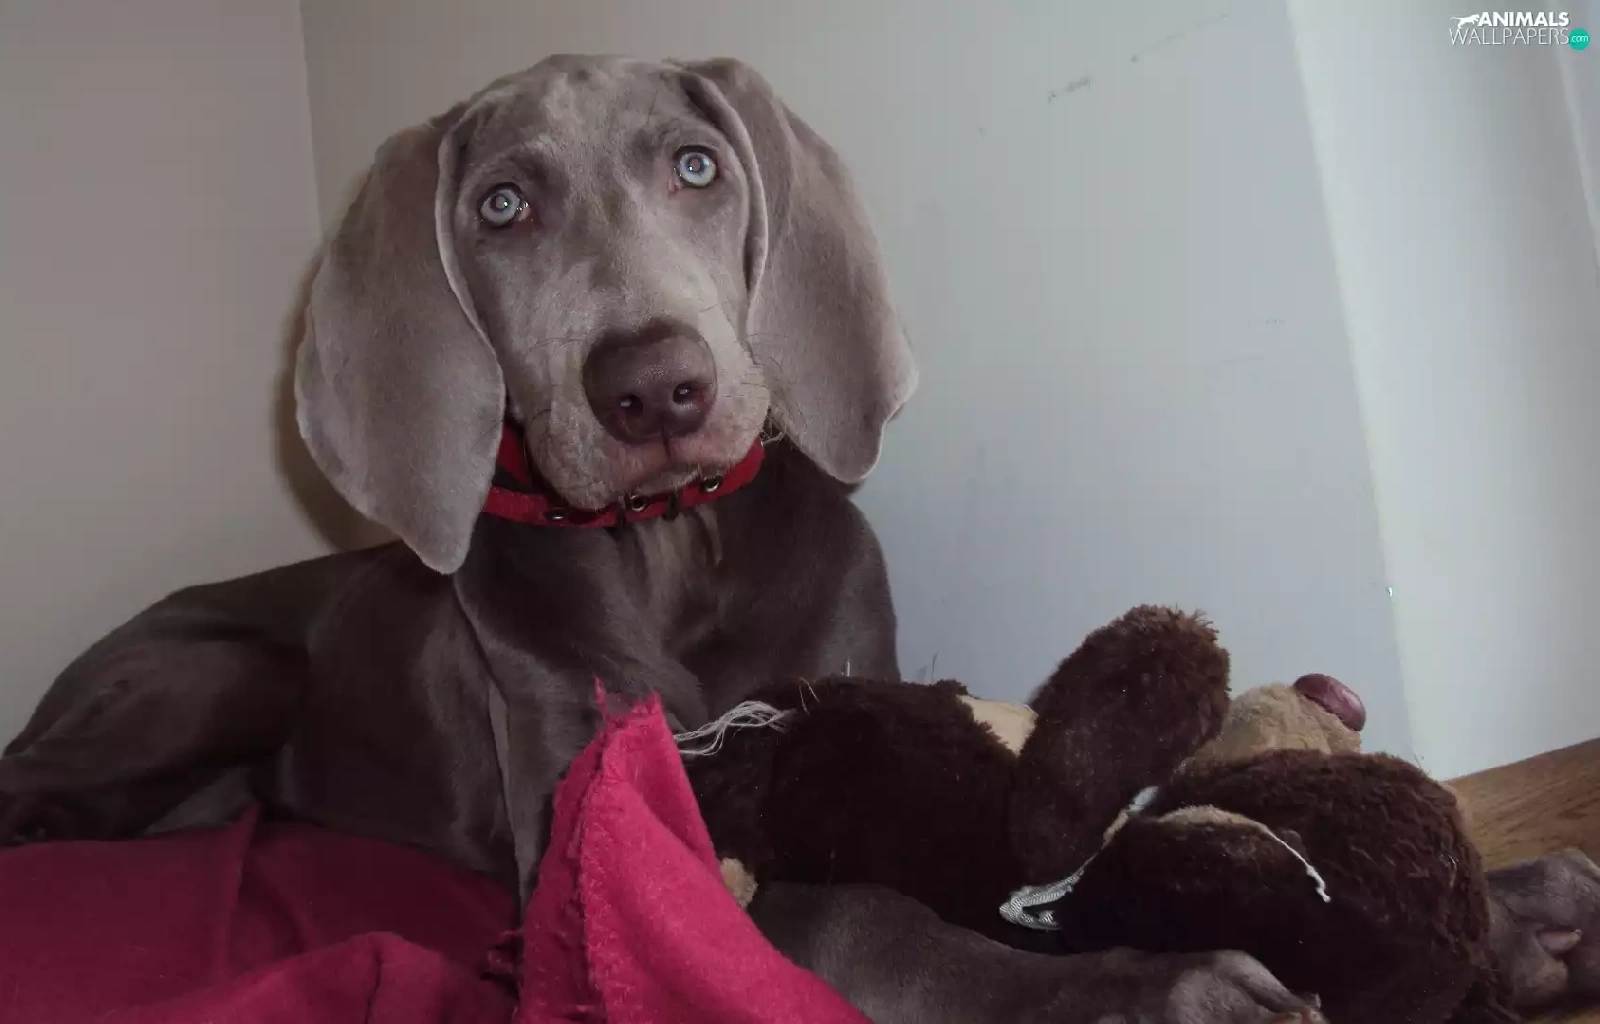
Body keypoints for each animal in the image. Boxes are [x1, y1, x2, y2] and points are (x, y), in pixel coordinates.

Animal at [2, 55, 1594, 1024]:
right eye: (502, 204)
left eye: (698, 168)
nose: (653, 387)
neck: (670, 552)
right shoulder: (591, 838)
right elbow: (846, 911)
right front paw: (1153, 980)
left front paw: (1514, 908)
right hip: (219, 669)